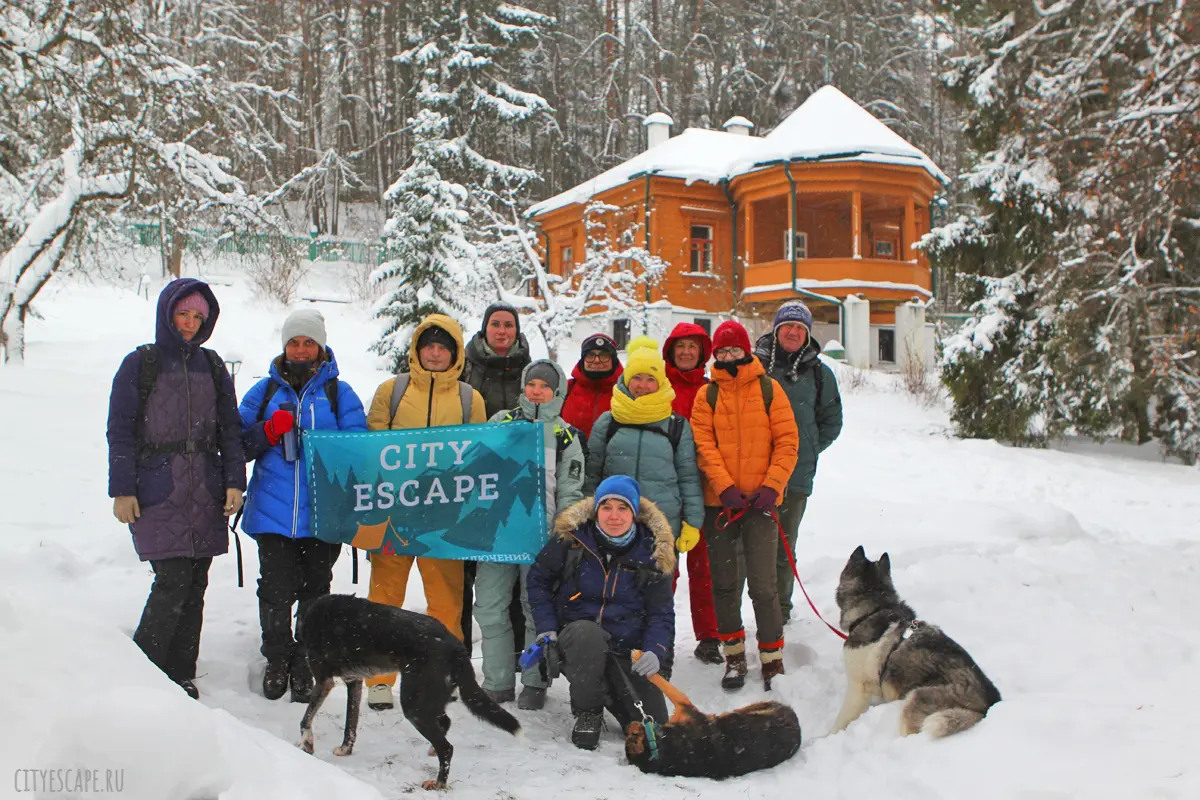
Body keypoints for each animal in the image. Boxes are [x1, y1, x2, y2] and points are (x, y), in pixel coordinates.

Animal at [296, 594, 520, 786]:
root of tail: (456, 647)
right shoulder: (355, 682)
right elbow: (350, 724)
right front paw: (345, 749)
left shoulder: (324, 682)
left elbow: (305, 719)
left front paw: (307, 744)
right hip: (428, 701)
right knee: (445, 723)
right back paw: (432, 752)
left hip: (414, 707)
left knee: (447, 748)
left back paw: (439, 784)